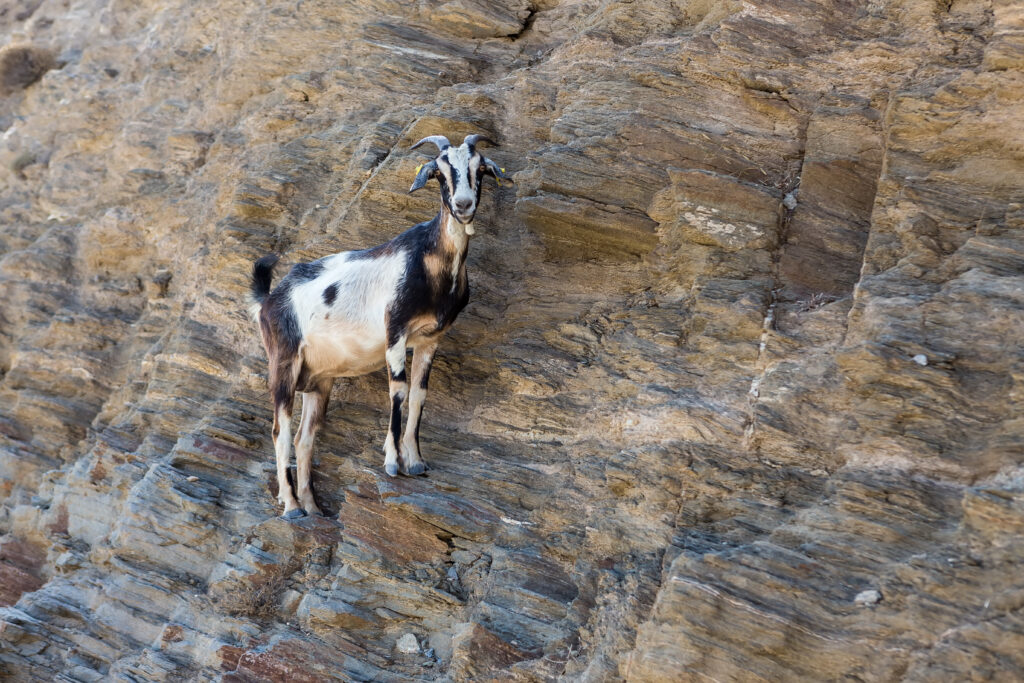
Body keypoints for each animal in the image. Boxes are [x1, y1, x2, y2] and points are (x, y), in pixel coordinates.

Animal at [248, 133, 512, 518]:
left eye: (479, 169)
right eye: (440, 171)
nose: (463, 205)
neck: (429, 260)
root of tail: (267, 301)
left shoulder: (430, 339)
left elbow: (418, 394)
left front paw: (416, 462)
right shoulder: (395, 333)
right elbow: (398, 391)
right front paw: (392, 462)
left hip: (318, 381)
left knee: (304, 437)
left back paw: (313, 507)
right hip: (283, 364)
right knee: (279, 431)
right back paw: (292, 506)